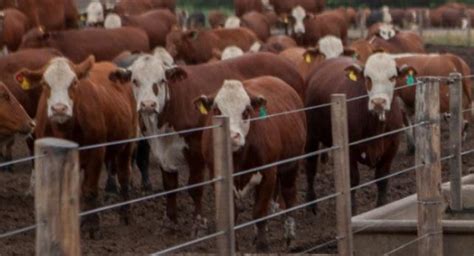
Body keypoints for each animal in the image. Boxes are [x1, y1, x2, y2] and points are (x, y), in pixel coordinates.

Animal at [17, 57, 138, 237]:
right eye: (45, 83)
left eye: (74, 82)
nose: (59, 108)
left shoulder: (96, 152)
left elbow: (90, 188)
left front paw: (92, 226)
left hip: (128, 142)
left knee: (124, 175)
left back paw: (126, 214)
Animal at [107, 51, 304, 230]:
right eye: (135, 81)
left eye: (161, 80)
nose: (148, 104)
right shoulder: (162, 152)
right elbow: (170, 186)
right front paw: (170, 220)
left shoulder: (195, 151)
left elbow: (194, 187)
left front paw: (198, 222)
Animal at [198, 76, 306, 250]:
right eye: (217, 111)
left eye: (246, 111)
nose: (232, 136)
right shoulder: (217, 177)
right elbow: (233, 214)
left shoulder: (269, 174)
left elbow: (259, 212)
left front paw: (262, 245)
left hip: (291, 164)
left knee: (289, 195)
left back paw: (290, 236)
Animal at [306, 54, 410, 214]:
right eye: (368, 77)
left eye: (393, 77)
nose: (378, 102)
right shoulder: (349, 149)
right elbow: (353, 180)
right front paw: (352, 210)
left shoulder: (392, 147)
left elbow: (382, 178)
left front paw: (382, 206)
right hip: (311, 135)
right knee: (310, 167)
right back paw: (311, 204)